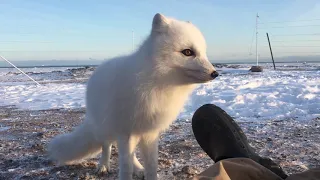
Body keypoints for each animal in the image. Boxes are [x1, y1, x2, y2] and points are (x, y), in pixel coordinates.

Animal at [47, 13, 219, 179]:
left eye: (204, 52)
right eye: (188, 52)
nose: (215, 73)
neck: (156, 84)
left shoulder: (150, 132)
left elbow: (151, 166)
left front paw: (147, 173)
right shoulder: (125, 132)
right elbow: (125, 166)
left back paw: (138, 168)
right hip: (107, 126)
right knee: (107, 145)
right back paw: (103, 165)